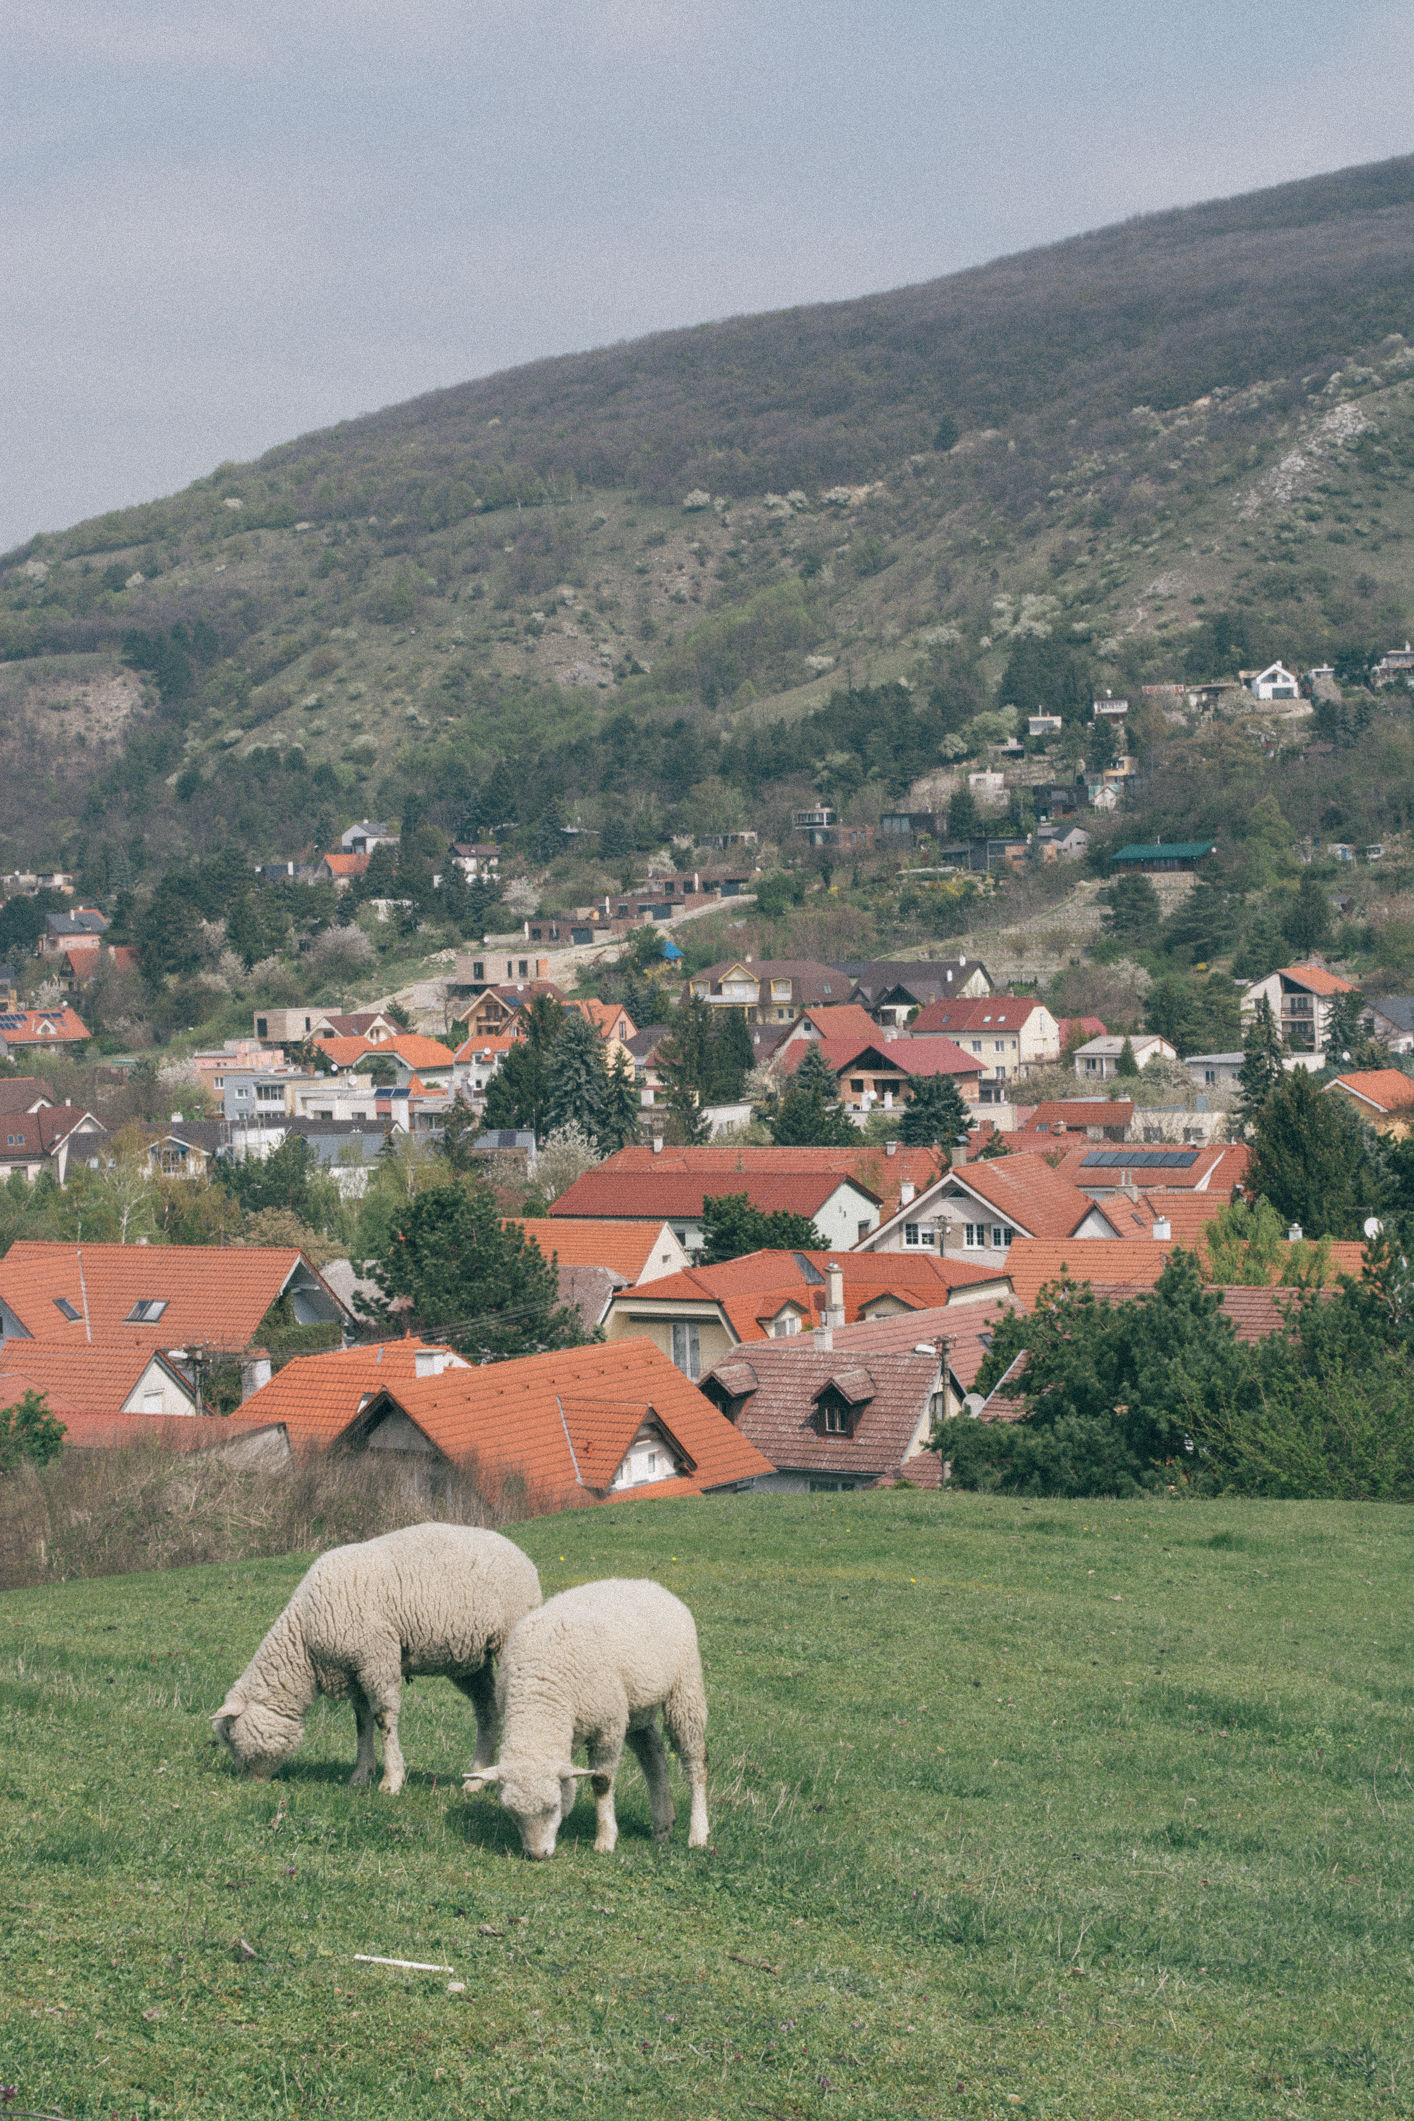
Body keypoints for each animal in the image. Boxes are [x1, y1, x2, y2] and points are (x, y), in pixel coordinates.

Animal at [209, 1527, 542, 1790]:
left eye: (231, 1736)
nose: (247, 1781)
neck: (305, 1643)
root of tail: (522, 1556)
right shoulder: (354, 1670)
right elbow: (362, 1721)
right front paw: (361, 1775)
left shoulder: (376, 1660)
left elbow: (383, 1718)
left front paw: (391, 1780)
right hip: (468, 1660)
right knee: (487, 1710)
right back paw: (475, 1780)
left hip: (509, 1635)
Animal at [464, 1578, 708, 1857]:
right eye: (511, 1812)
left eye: (554, 1806)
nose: (537, 1855)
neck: (540, 1690)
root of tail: (646, 1583)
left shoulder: (608, 1728)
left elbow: (602, 1782)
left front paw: (605, 1839)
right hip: (635, 1706)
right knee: (653, 1756)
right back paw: (663, 1825)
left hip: (684, 1689)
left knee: (695, 1759)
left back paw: (698, 1833)